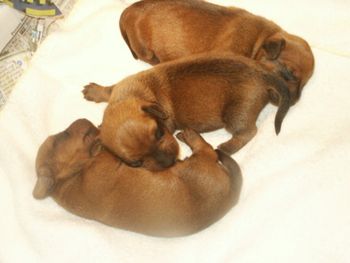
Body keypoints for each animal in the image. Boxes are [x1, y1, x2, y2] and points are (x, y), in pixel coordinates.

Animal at [32, 118, 242, 238]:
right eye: (64, 134)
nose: (81, 118)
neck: (70, 177)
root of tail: (230, 197)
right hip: (198, 165)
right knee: (207, 150)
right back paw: (191, 135)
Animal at [83, 53, 292, 171]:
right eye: (135, 163)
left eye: (159, 133)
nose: (169, 162)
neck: (135, 93)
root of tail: (262, 73)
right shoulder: (119, 88)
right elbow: (109, 89)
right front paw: (95, 91)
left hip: (237, 113)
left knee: (248, 132)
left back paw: (226, 146)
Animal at [120, 0, 314, 105]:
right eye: (289, 73)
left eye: (304, 84)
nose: (293, 102)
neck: (259, 41)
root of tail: (128, 10)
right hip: (144, 49)